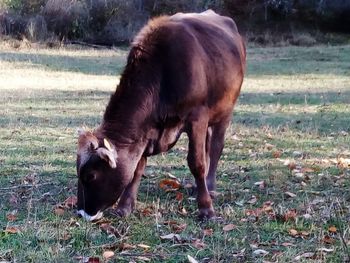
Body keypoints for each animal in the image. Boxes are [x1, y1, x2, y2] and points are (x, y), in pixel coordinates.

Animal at [76, 9, 246, 221]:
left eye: (91, 175)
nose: (81, 212)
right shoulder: (144, 132)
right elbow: (137, 169)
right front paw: (124, 206)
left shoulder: (197, 116)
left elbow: (196, 162)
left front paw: (206, 209)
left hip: (225, 111)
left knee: (215, 147)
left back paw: (211, 187)